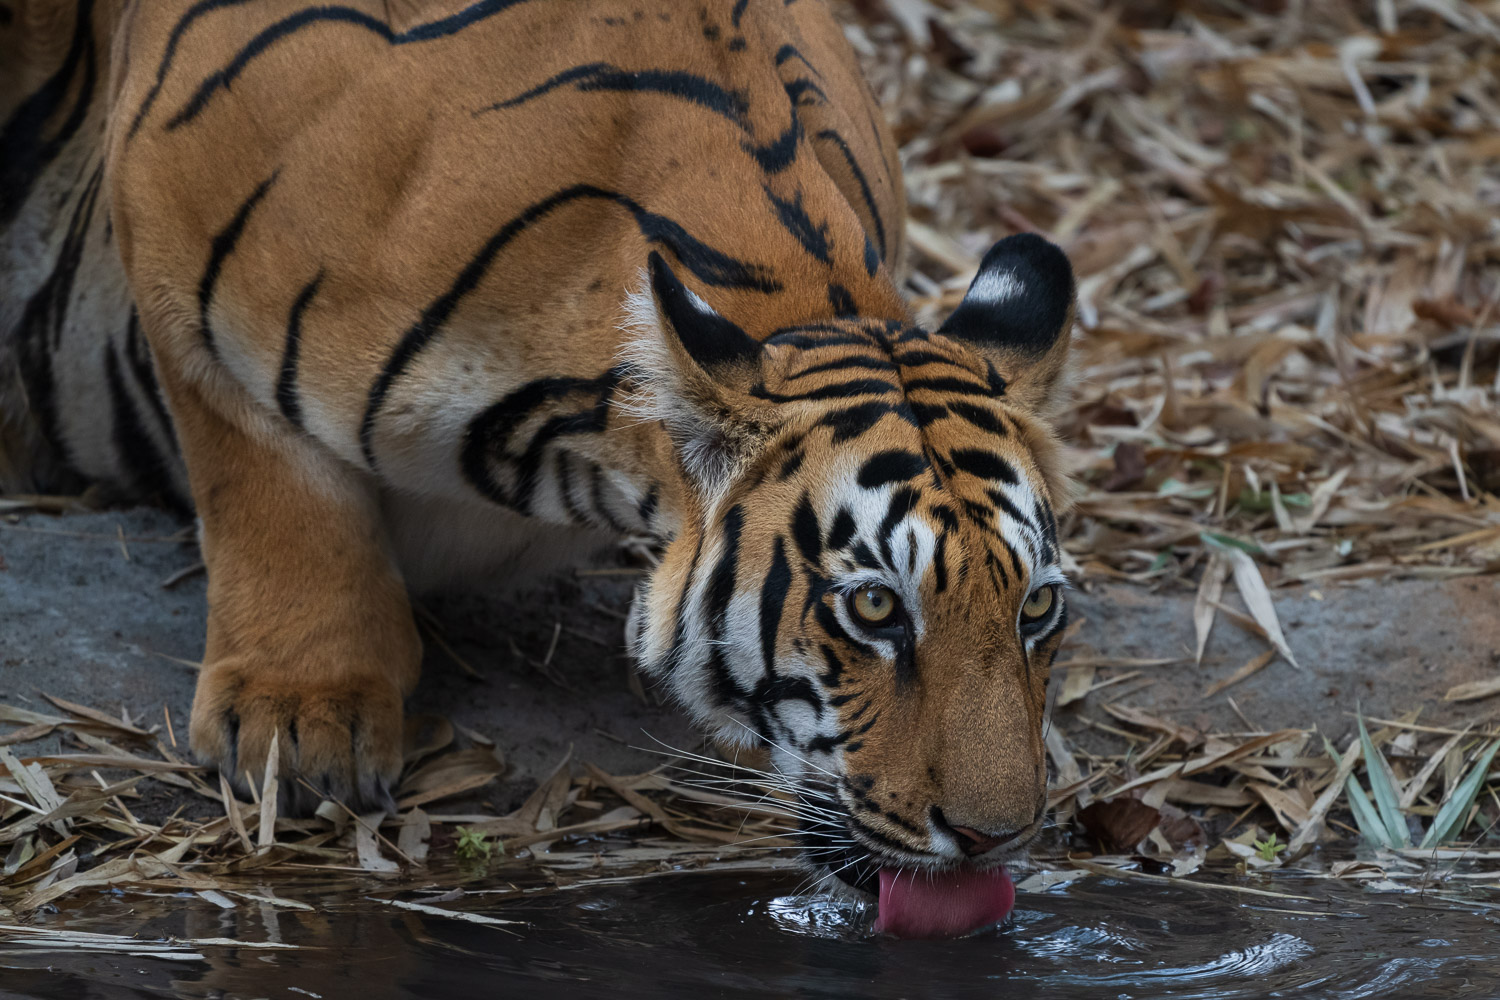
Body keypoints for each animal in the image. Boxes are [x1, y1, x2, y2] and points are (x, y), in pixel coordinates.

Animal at [2, 0, 1076, 931]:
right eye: (876, 608)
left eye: (1037, 608)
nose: (997, 838)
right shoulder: (172, 239)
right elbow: (266, 480)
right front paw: (301, 721)